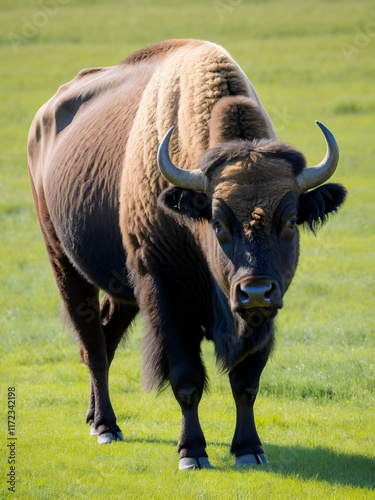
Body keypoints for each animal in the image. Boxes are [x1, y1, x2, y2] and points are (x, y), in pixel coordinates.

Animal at [27, 39, 348, 468]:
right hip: (64, 264)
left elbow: (246, 383)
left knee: (106, 340)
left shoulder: (261, 318)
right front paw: (192, 453)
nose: (256, 291)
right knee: (93, 346)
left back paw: (94, 418)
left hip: (121, 290)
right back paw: (107, 427)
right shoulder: (162, 289)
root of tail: (43, 120)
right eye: (218, 222)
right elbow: (186, 379)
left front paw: (249, 450)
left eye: (292, 220)